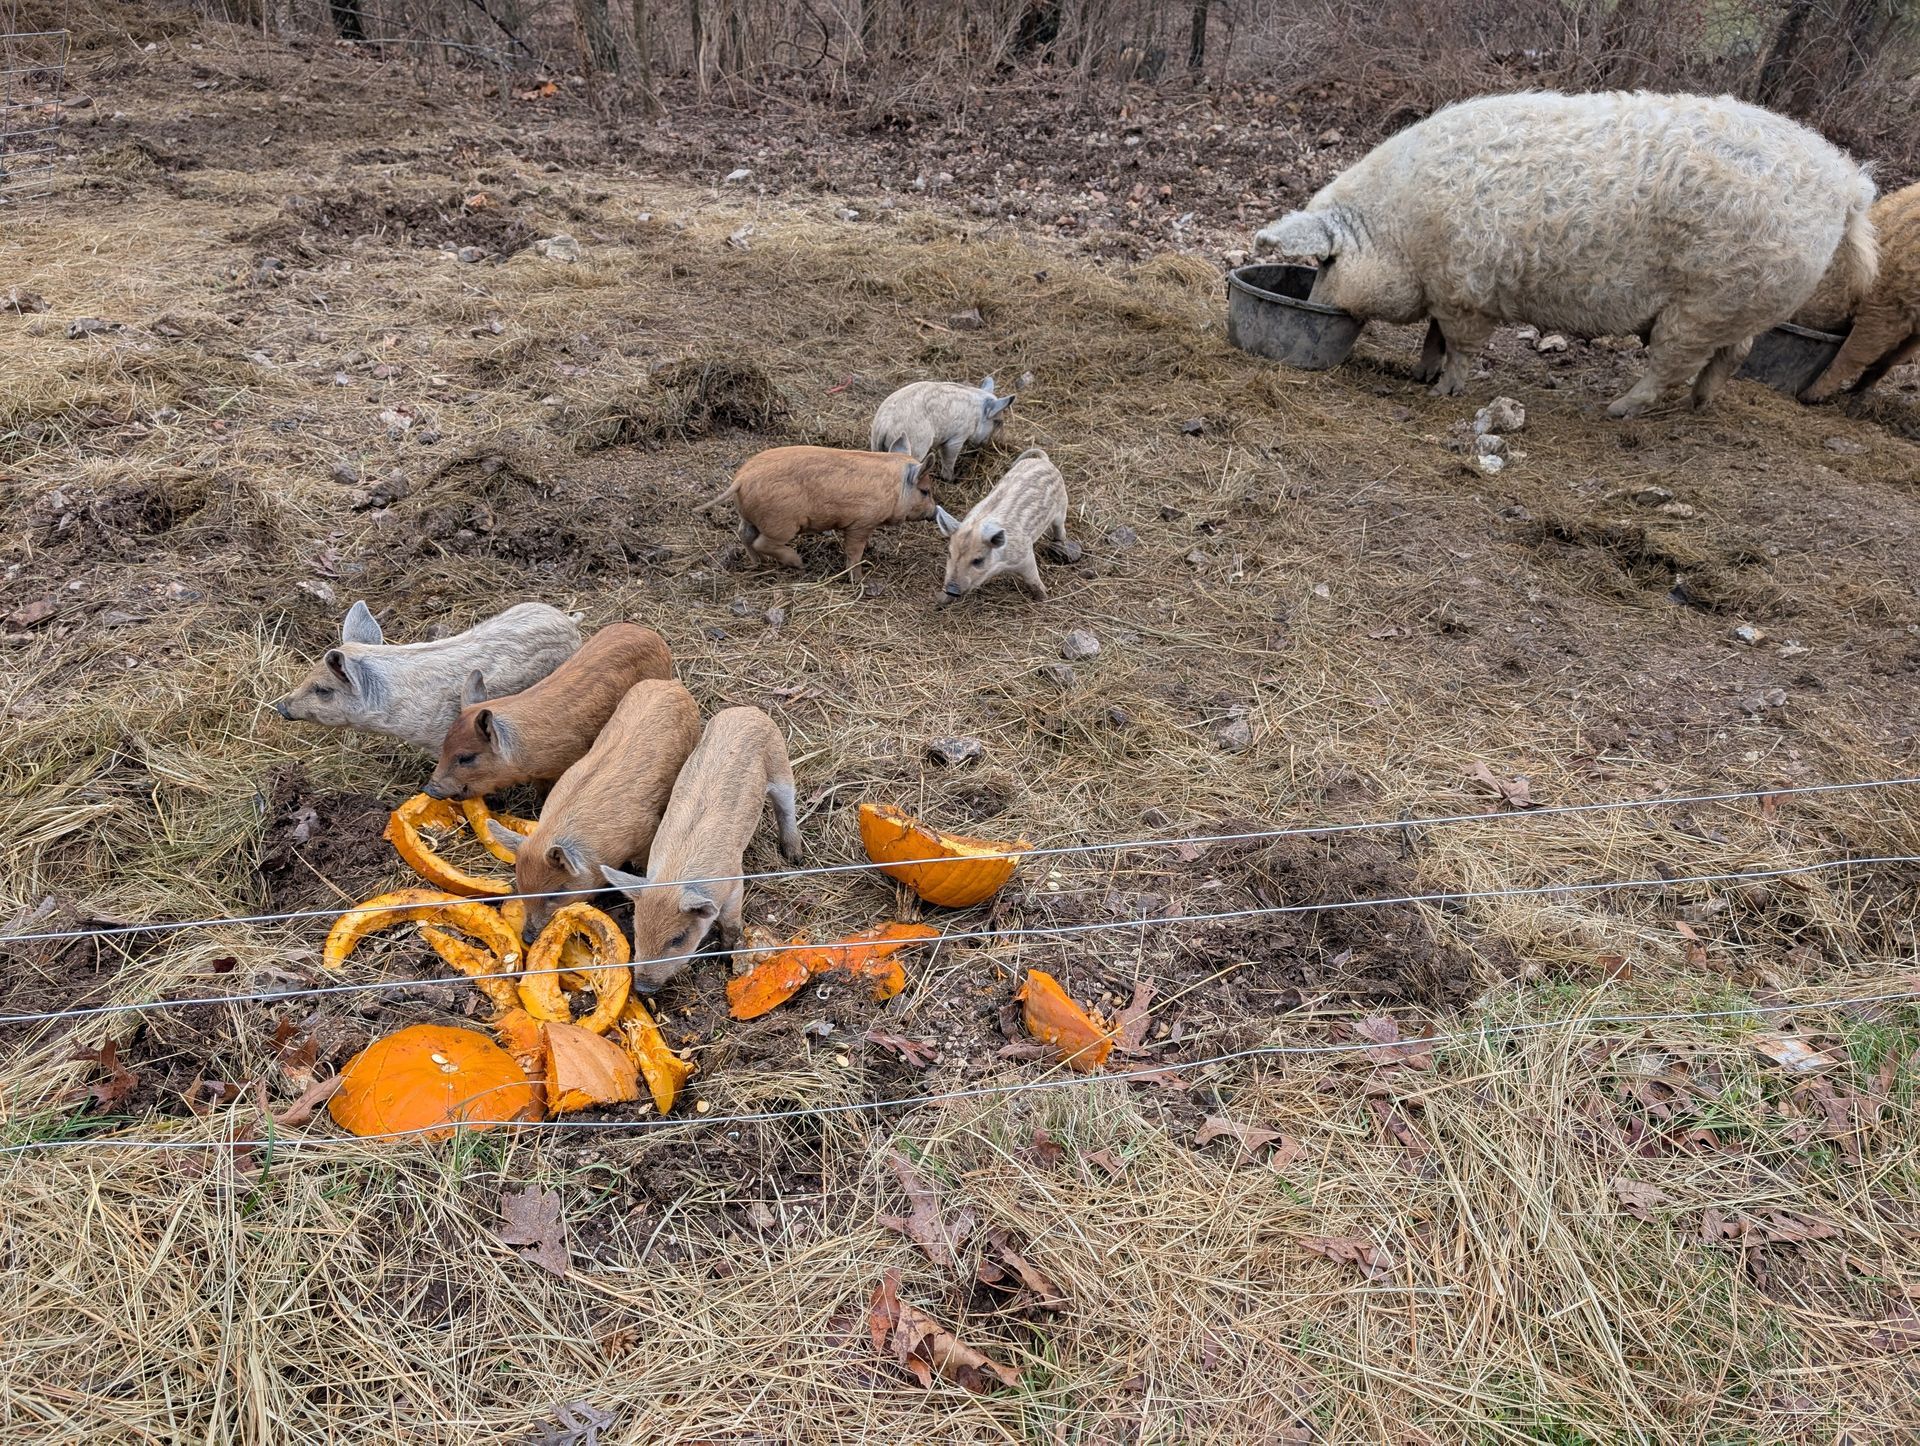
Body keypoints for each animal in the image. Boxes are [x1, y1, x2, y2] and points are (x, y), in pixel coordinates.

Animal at [598, 706, 803, 992]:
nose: (643, 987)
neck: (673, 880)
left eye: (678, 938)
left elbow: (730, 921)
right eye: (637, 930)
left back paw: (795, 857)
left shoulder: (735, 881)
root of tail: (748, 710)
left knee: (786, 809)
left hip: (781, 765)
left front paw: (727, 955)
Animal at [698, 444, 933, 574]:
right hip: (780, 523)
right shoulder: (862, 523)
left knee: (744, 535)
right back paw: (799, 564)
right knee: (762, 542)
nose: (933, 512)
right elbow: (854, 552)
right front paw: (858, 579)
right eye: (925, 491)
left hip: (748, 516)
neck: (896, 488)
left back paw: (759, 563)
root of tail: (741, 479)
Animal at [869, 376, 1016, 480]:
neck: (977, 415)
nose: (986, 445)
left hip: (875, 444)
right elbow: (949, 459)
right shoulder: (957, 437)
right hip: (915, 446)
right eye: (997, 422)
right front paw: (952, 479)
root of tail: (884, 425)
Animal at [933, 447, 1080, 603]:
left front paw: (1043, 598)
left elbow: (1032, 578)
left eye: (978, 560)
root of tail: (1044, 461)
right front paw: (941, 601)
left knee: (1060, 527)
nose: (951, 589)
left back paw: (1060, 543)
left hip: (1062, 507)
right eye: (950, 553)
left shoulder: (1025, 554)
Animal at [1253, 90, 1878, 418]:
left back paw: (1618, 410)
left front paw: (1445, 391)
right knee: (1733, 355)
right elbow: (1433, 334)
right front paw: (1421, 374)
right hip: (1739, 302)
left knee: (1673, 364)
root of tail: (1845, 187)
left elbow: (1460, 345)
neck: (1403, 229)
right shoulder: (1448, 288)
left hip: (1705, 303)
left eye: (1326, 263)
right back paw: (1700, 406)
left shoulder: (1468, 289)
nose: (1317, 307)